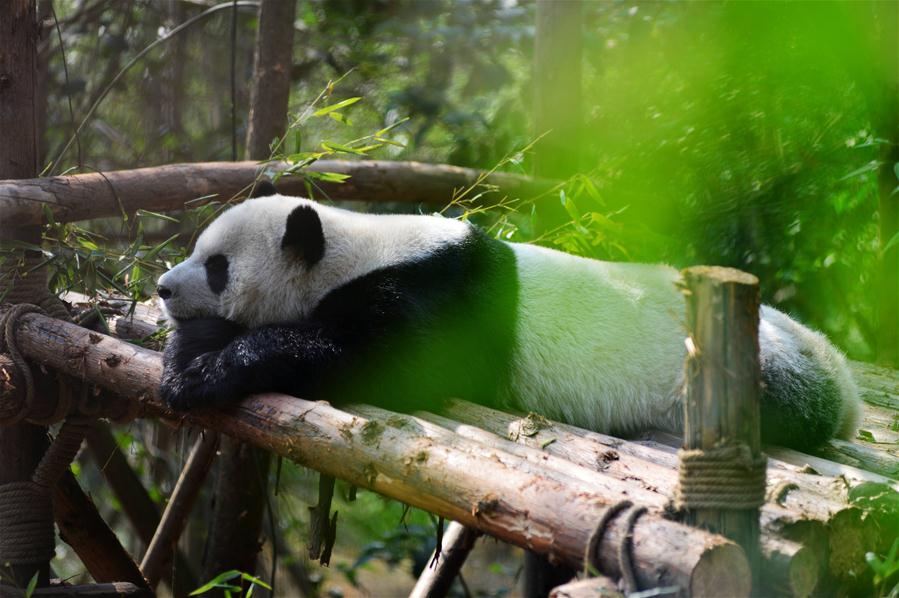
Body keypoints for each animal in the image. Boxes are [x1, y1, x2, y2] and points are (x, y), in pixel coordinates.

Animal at [158, 185, 860, 452]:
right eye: (196, 252)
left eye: (216, 266)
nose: (163, 286)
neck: (351, 250)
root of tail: (847, 389)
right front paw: (185, 355)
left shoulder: (435, 297)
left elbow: (379, 362)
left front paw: (209, 374)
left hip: (746, 373)